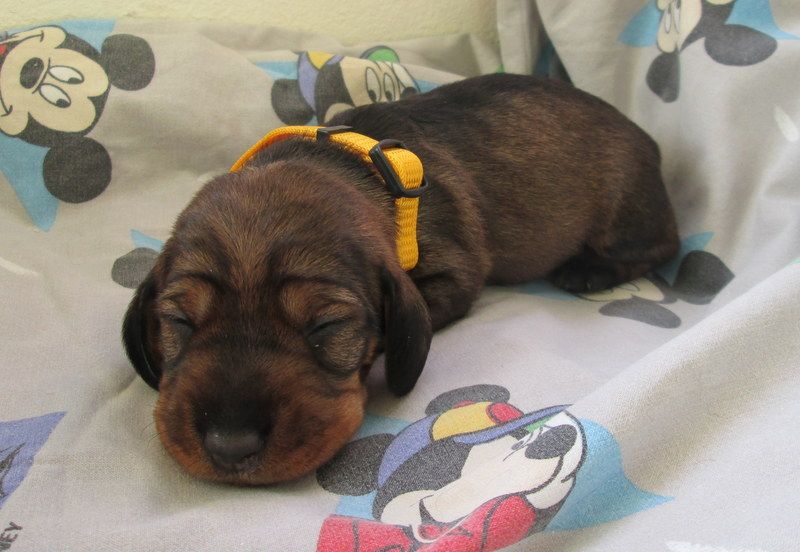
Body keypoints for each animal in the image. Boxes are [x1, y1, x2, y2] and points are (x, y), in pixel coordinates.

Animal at [123, 73, 679, 485]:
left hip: (623, 208)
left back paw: (590, 270)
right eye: (178, 321)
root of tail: (651, 141)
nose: (229, 446)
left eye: (326, 327)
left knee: (661, 246)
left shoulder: (454, 274)